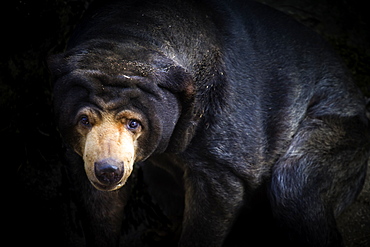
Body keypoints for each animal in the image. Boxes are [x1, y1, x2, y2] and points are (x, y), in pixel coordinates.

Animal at [49, 0, 370, 245]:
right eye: (84, 119)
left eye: (134, 123)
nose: (109, 171)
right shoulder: (84, 153)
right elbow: (99, 205)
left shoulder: (223, 125)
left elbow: (219, 191)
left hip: (337, 128)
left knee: (295, 186)